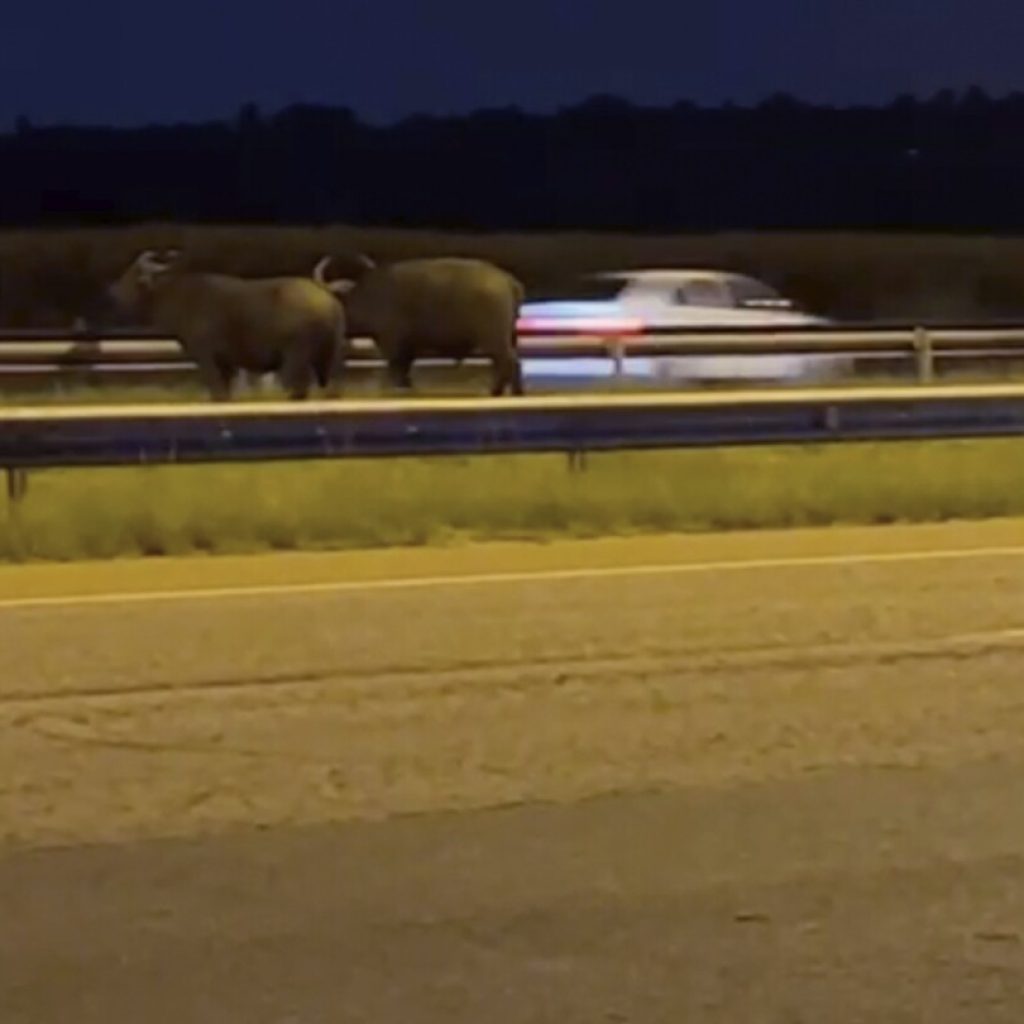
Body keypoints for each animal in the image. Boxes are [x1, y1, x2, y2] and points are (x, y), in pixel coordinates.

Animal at [107, 249, 348, 401]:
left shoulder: (207, 357)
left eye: (133, 274)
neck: (181, 296)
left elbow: (217, 392)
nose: (114, 293)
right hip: (329, 358)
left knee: (297, 389)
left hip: (295, 359)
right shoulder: (228, 364)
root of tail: (325, 295)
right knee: (331, 389)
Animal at [313, 254, 524, 395]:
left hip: (495, 339)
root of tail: (507, 280)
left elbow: (398, 372)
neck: (368, 297)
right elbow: (405, 373)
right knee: (511, 364)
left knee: (508, 362)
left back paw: (496, 391)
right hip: (509, 337)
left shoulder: (393, 347)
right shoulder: (408, 349)